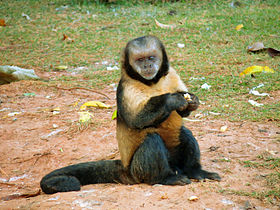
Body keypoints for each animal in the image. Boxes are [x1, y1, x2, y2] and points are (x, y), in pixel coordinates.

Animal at [40, 35, 221, 194]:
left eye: (151, 57)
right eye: (140, 60)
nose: (147, 66)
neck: (151, 82)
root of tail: (126, 169)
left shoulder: (171, 73)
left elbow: (184, 112)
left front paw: (192, 101)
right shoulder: (126, 86)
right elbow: (136, 119)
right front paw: (171, 100)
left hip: (173, 162)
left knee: (184, 133)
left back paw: (194, 171)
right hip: (138, 170)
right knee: (152, 140)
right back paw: (165, 178)